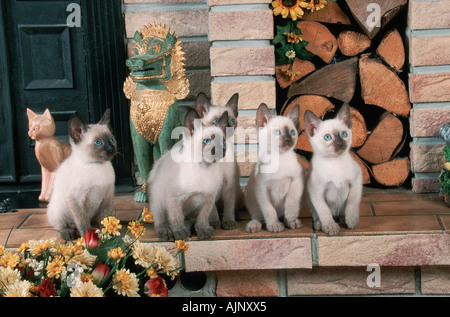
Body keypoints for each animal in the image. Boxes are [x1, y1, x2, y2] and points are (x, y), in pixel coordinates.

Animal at [47, 109, 117, 239]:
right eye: (98, 142)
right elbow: (82, 221)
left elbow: (105, 217)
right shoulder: (75, 199)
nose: (111, 149)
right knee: (63, 224)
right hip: (59, 208)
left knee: (91, 220)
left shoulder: (107, 196)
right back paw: (68, 233)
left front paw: (108, 233)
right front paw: (87, 236)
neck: (96, 165)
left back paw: (94, 226)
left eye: (111, 140)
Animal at [149, 107, 229, 238]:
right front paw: (180, 232)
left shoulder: (208, 199)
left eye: (223, 143)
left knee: (189, 219)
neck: (204, 168)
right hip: (158, 200)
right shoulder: (174, 198)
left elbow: (202, 218)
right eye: (207, 141)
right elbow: (176, 218)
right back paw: (166, 231)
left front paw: (202, 231)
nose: (219, 151)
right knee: (161, 220)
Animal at [192, 92, 243, 228]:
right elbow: (211, 209)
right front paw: (213, 222)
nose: (227, 128)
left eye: (232, 121)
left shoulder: (229, 183)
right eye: (215, 121)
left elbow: (229, 206)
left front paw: (228, 222)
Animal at [244, 103, 304, 232]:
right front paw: (274, 225)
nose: (287, 139)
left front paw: (291, 216)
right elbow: (269, 210)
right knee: (258, 216)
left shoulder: (297, 179)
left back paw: (292, 222)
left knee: (284, 214)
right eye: (277, 132)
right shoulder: (261, 188)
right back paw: (253, 225)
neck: (279, 157)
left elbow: (292, 199)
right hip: (252, 200)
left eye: (292, 132)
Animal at [302, 103, 362, 235]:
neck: (335, 163)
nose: (340, 143)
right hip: (308, 199)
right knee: (317, 214)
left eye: (344, 134)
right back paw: (320, 224)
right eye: (328, 137)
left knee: (342, 212)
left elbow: (352, 202)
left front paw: (351, 220)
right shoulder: (316, 191)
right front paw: (330, 226)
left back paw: (344, 219)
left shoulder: (356, 180)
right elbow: (324, 211)